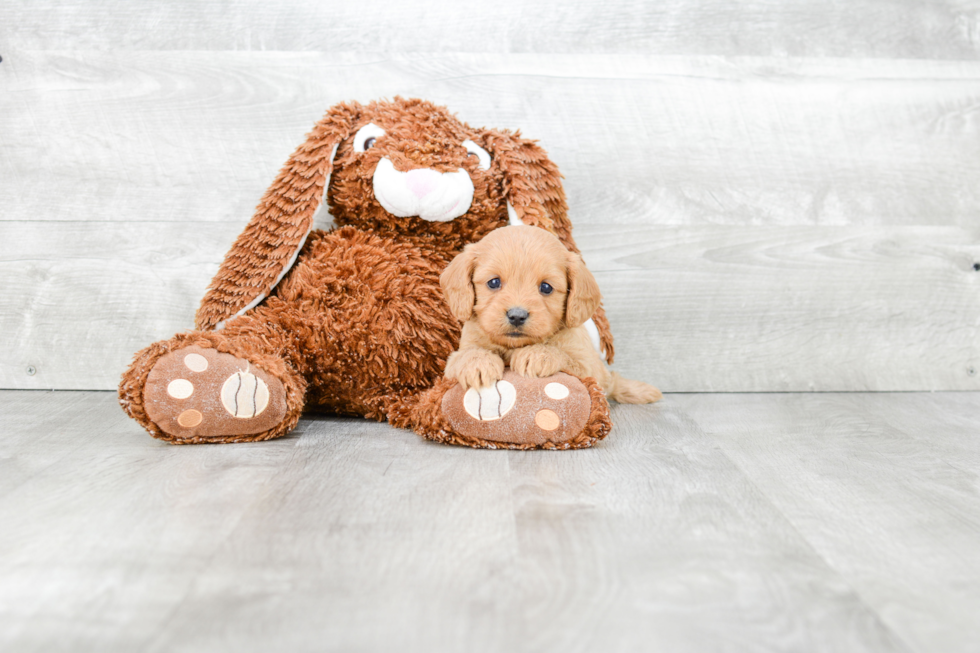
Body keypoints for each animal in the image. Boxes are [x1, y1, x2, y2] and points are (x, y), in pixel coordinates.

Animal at [440, 227, 664, 404]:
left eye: (546, 287)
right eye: (493, 282)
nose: (517, 316)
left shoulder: (588, 365)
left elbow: (565, 357)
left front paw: (537, 355)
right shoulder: (453, 361)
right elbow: (465, 354)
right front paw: (477, 363)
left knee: (614, 381)